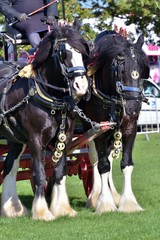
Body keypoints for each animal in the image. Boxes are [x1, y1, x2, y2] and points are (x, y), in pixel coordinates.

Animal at [0, 23, 89, 220]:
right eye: (64, 53)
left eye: (84, 53)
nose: (81, 86)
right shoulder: (35, 139)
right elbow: (39, 173)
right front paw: (42, 212)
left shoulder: (66, 137)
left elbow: (59, 171)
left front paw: (62, 208)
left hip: (14, 139)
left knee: (10, 166)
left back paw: (12, 208)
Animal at [79, 31, 151, 214]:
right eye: (121, 70)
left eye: (142, 70)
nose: (133, 107)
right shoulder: (100, 130)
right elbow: (102, 165)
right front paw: (104, 203)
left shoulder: (130, 128)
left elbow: (126, 164)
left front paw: (128, 203)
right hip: (89, 128)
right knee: (95, 158)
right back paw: (95, 197)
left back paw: (113, 194)